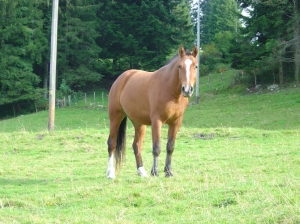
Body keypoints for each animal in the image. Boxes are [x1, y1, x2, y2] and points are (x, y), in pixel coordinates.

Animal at [106, 46, 198, 178]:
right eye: (179, 66)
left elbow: (170, 147)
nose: (187, 89)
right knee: (111, 144)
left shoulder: (176, 122)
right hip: (115, 117)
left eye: (196, 66)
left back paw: (142, 172)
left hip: (139, 123)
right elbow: (156, 148)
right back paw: (110, 173)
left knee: (136, 145)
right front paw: (155, 171)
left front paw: (168, 171)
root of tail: (122, 78)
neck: (169, 90)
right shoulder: (156, 121)